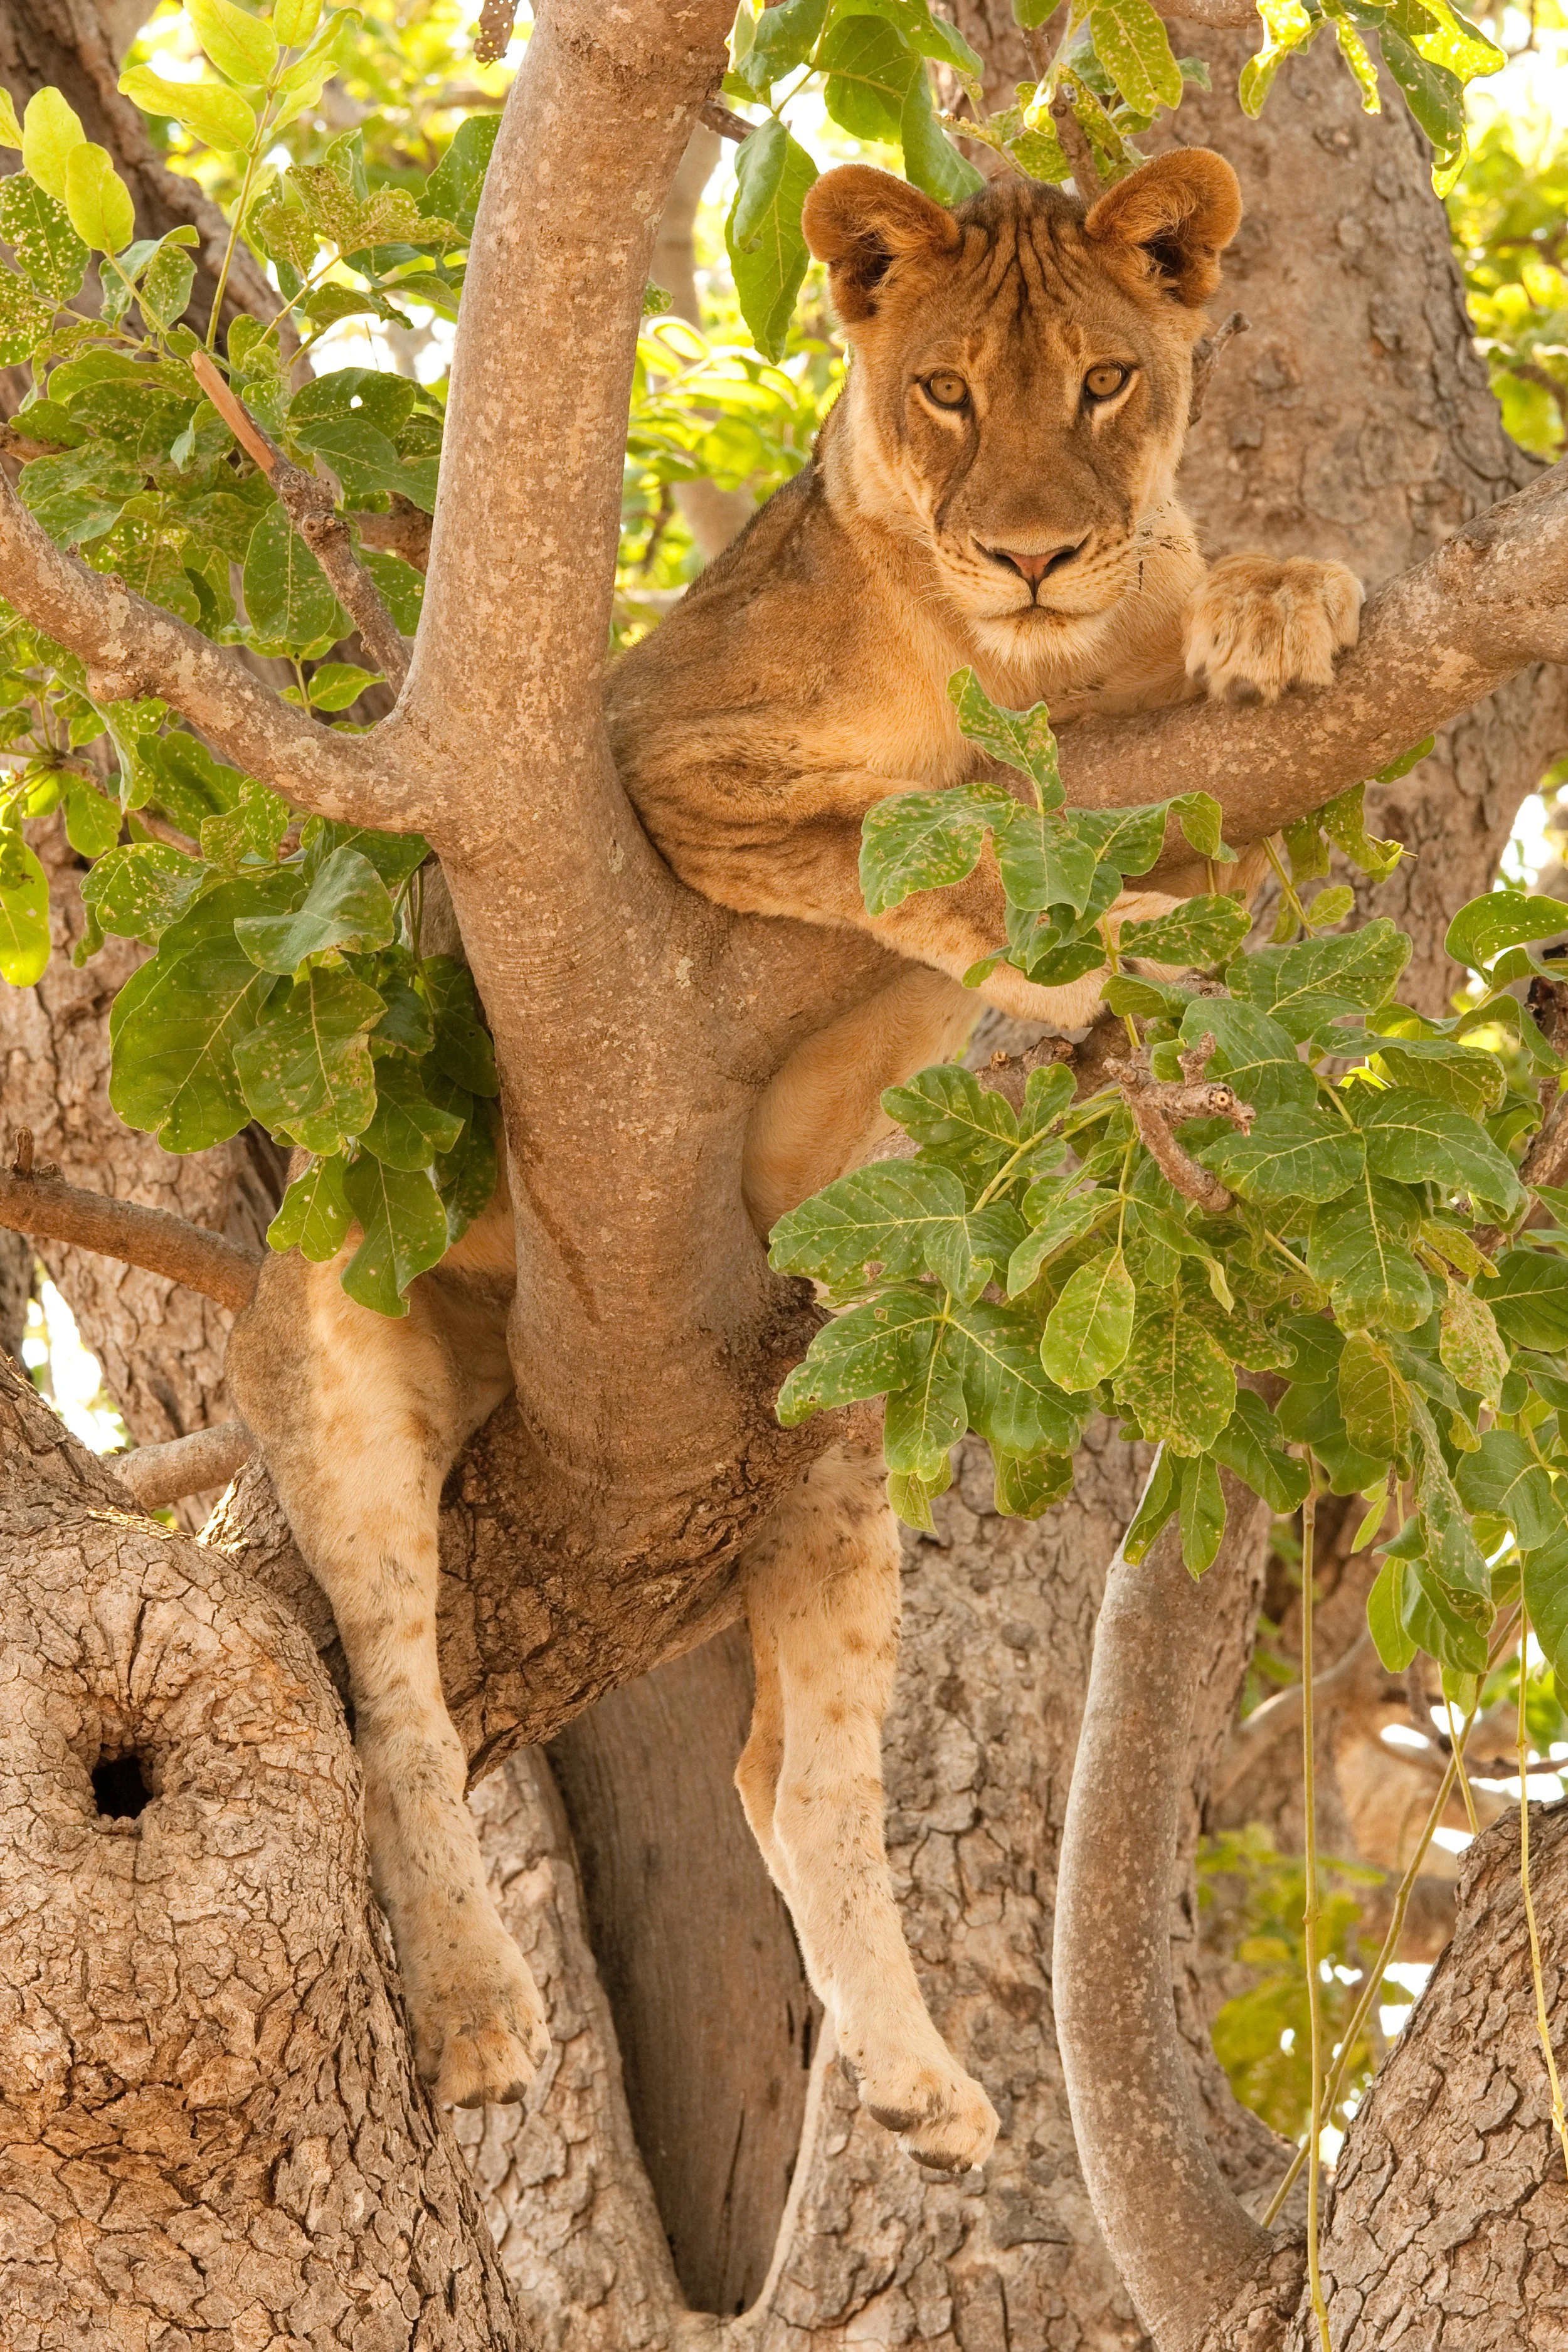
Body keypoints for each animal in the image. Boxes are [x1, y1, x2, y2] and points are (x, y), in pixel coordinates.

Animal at [227, 147, 1361, 2175]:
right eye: (944, 394)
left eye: (1101, 383)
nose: (1030, 551)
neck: (1011, 652)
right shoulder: (655, 761)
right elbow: (920, 827)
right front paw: (1057, 931)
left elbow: (1171, 691)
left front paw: (1277, 596)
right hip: (337, 1355)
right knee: (400, 1707)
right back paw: (475, 2013)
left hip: (833, 1436)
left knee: (792, 1775)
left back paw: (915, 2081)